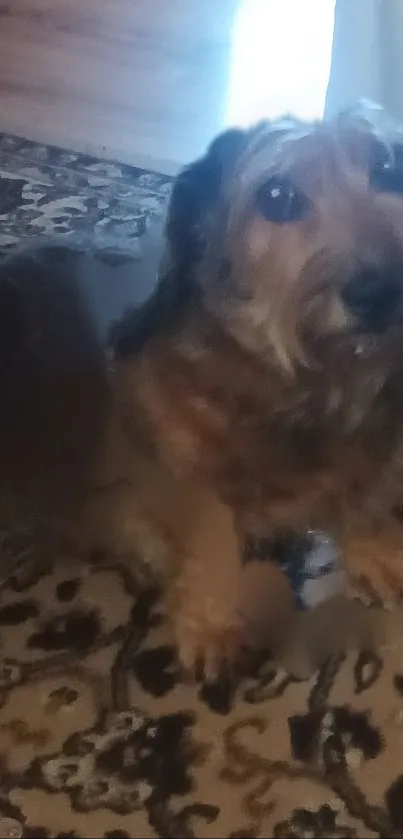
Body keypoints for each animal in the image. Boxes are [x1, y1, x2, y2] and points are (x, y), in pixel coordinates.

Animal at [109, 108, 403, 680]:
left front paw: (374, 548)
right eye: (276, 196)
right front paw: (212, 621)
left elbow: (368, 487)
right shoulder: (180, 451)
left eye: (387, 169)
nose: (381, 292)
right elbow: (205, 529)